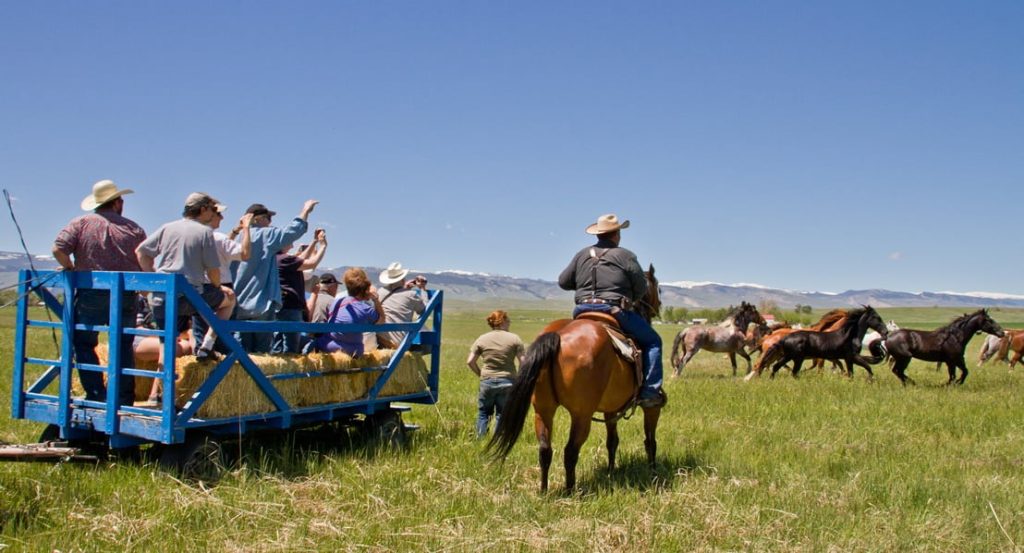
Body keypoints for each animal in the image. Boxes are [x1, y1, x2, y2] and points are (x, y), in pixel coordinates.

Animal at [487, 264, 663, 491]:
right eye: (657, 288)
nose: (658, 306)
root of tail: (557, 335)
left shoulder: (611, 409)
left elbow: (612, 441)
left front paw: (611, 471)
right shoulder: (652, 407)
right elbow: (650, 440)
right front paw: (653, 472)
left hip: (543, 409)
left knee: (545, 449)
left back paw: (544, 490)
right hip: (581, 415)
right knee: (570, 451)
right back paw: (571, 490)